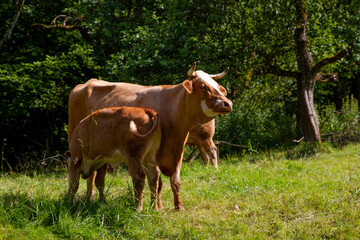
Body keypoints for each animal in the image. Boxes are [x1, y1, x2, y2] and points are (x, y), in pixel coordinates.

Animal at [68, 63, 232, 210]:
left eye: (218, 86)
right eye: (203, 86)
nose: (228, 103)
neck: (171, 107)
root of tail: (87, 83)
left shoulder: (177, 151)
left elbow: (174, 180)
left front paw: (178, 206)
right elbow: (158, 183)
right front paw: (158, 206)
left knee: (94, 174)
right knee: (87, 176)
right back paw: (89, 197)